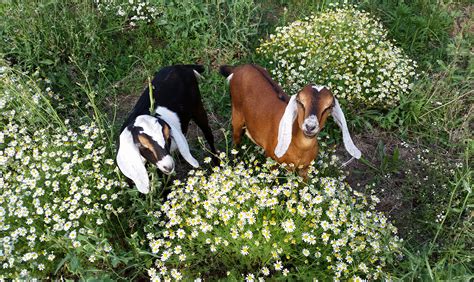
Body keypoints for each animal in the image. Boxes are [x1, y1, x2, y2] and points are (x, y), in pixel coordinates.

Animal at [117, 64, 218, 194]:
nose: (168, 166)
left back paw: (216, 162)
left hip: (197, 106)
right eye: (142, 145)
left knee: (208, 133)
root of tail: (181, 66)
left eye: (167, 136)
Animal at [218, 65, 360, 177]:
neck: (300, 147)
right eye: (300, 102)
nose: (310, 126)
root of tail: (239, 68)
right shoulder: (272, 161)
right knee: (236, 141)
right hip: (237, 114)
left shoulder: (305, 168)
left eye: (329, 106)